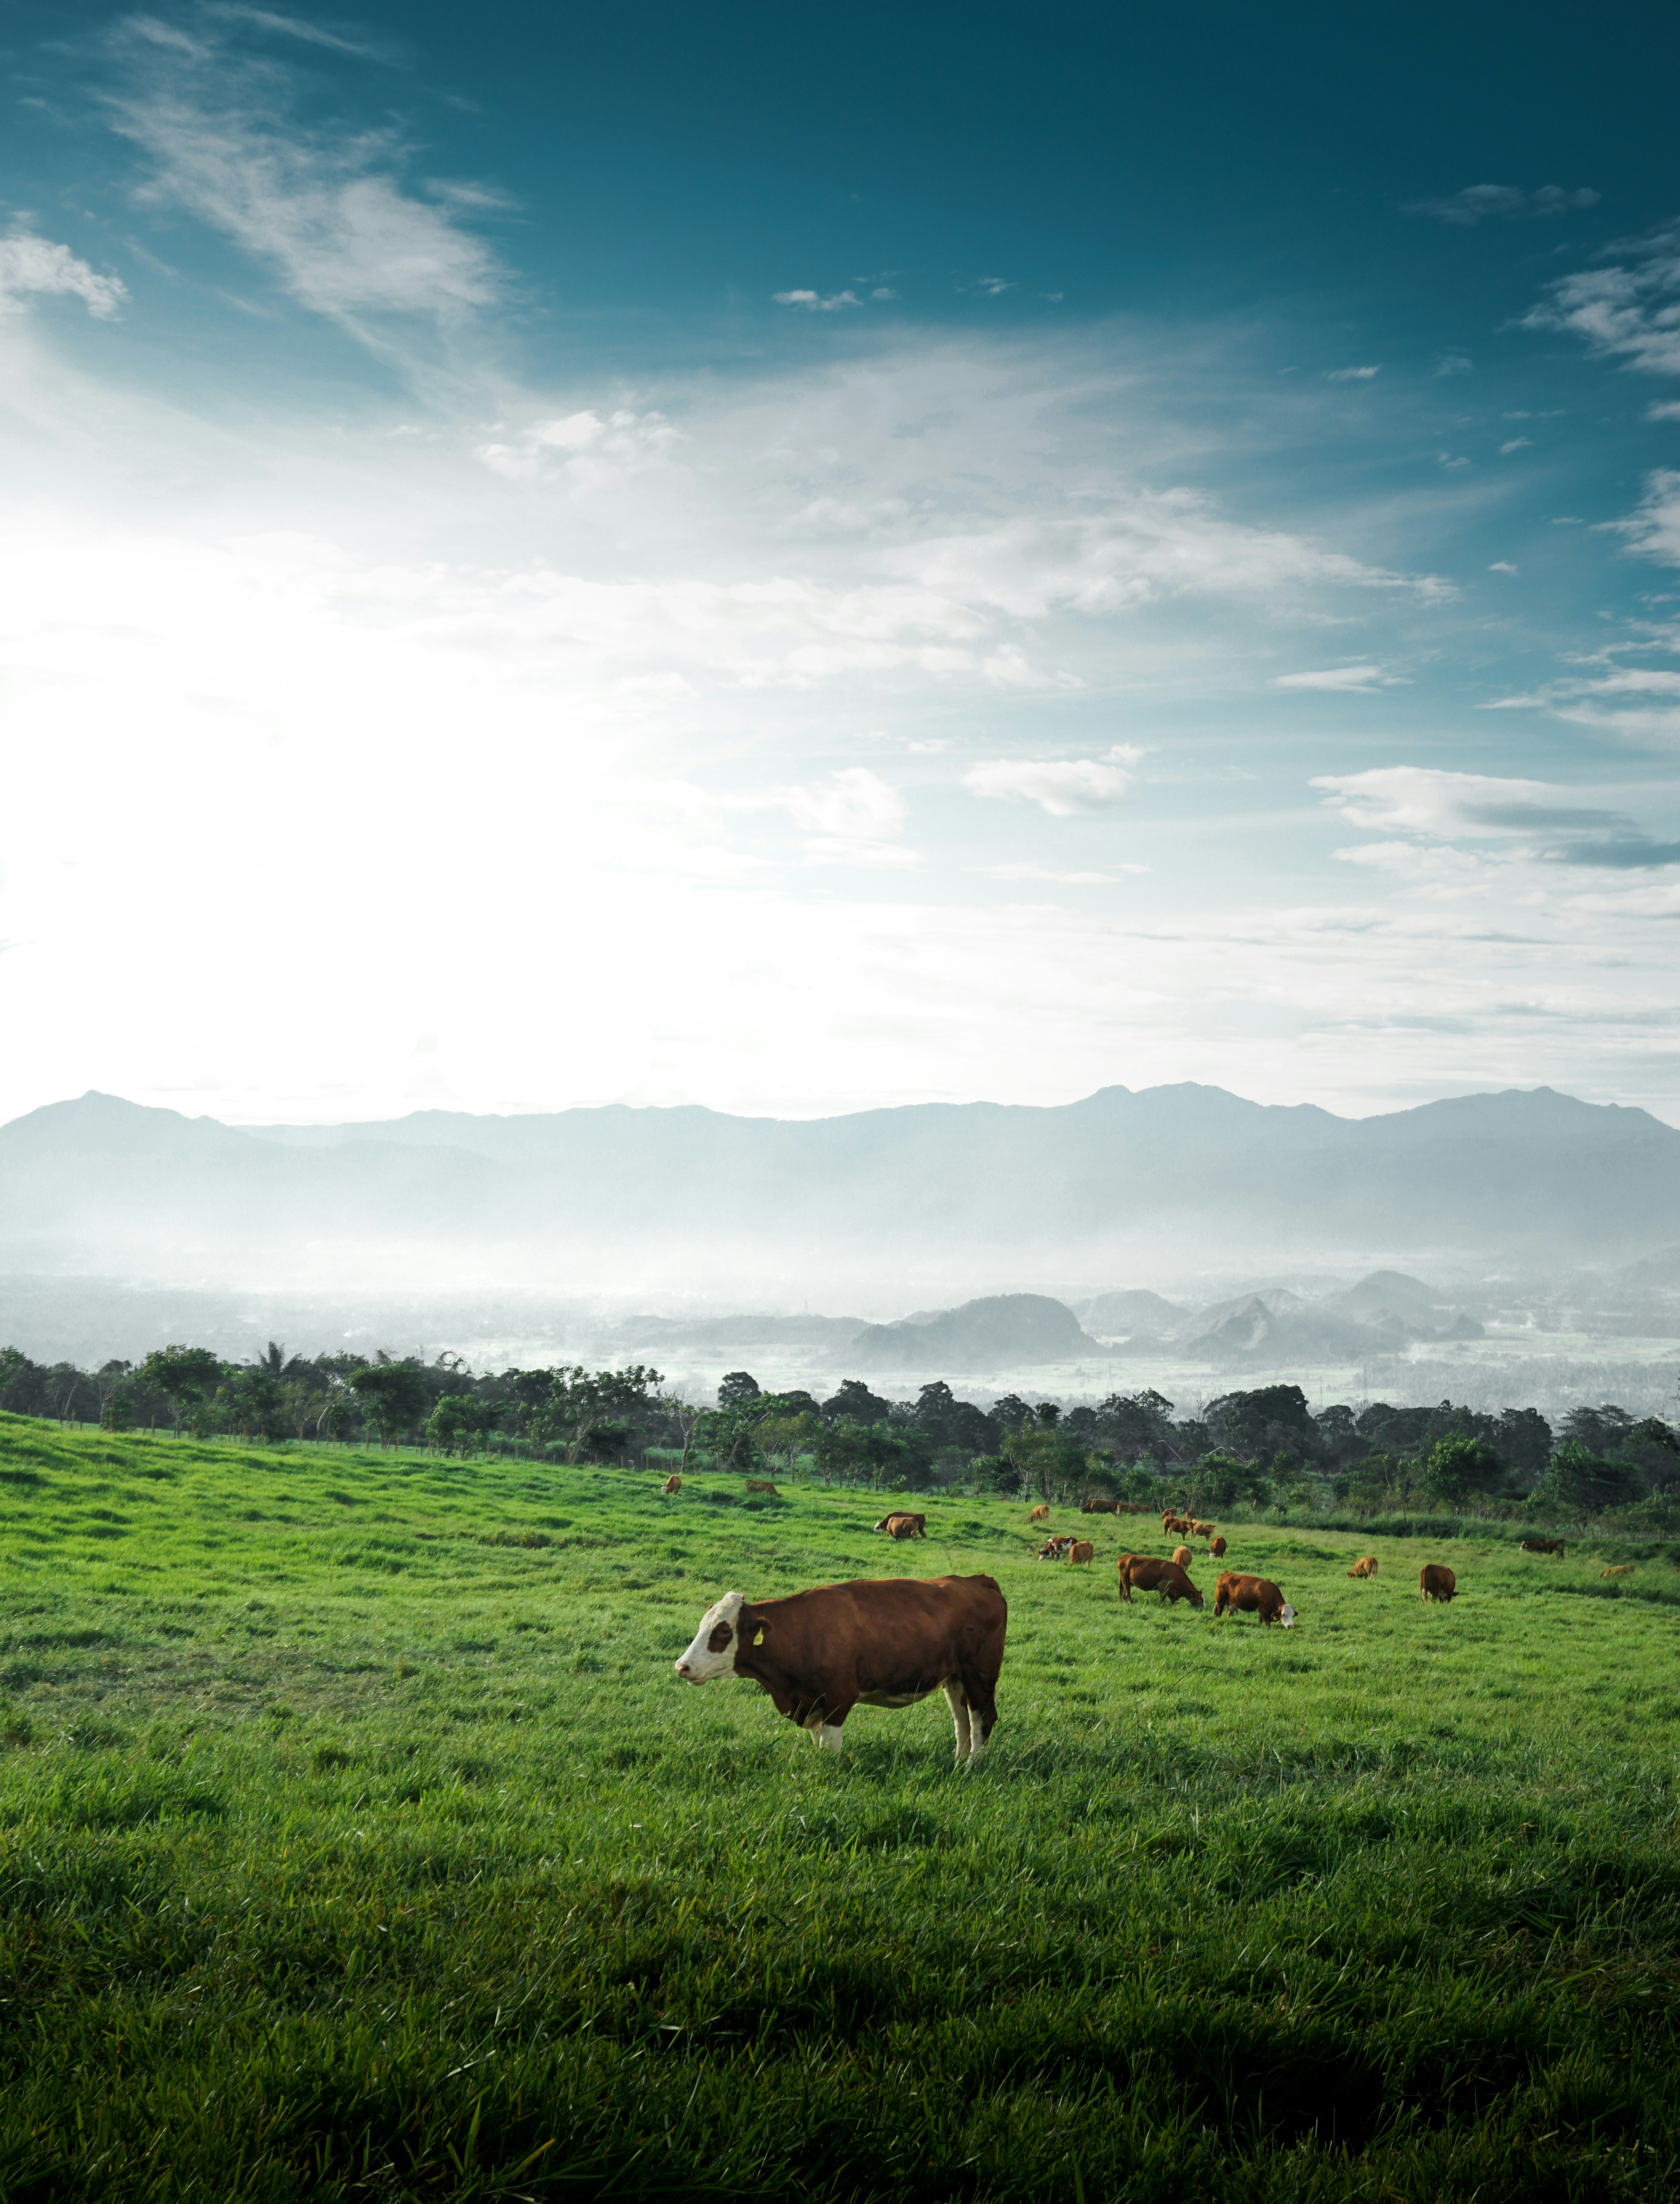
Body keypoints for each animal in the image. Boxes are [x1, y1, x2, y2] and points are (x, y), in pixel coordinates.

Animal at [673, 1574, 1007, 1762]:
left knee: (982, 1719)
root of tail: (977, 1580)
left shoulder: (839, 1697)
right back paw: (959, 1762)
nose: (682, 1666)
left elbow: (829, 1746)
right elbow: (818, 1741)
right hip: (955, 1679)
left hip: (980, 1676)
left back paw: (973, 1766)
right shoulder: (811, 1703)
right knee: (962, 1722)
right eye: (703, 1626)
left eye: (723, 1632)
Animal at [1116, 1554, 1204, 1608]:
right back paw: (1131, 1603)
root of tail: (1126, 1556)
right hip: (1125, 1581)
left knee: (1123, 1593)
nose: (1203, 1608)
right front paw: (1161, 1606)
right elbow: (1163, 1598)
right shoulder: (1162, 1586)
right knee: (1127, 1594)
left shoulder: (1172, 1592)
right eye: (1200, 1600)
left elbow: (1173, 1600)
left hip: (1125, 1582)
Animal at [1214, 1572, 1296, 1627]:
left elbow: (1260, 1621)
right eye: (1284, 1615)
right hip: (1220, 1602)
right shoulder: (1264, 1611)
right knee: (1218, 1612)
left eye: (1293, 1616)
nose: (1290, 1626)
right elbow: (1266, 1623)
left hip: (1229, 1604)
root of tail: (1226, 1573)